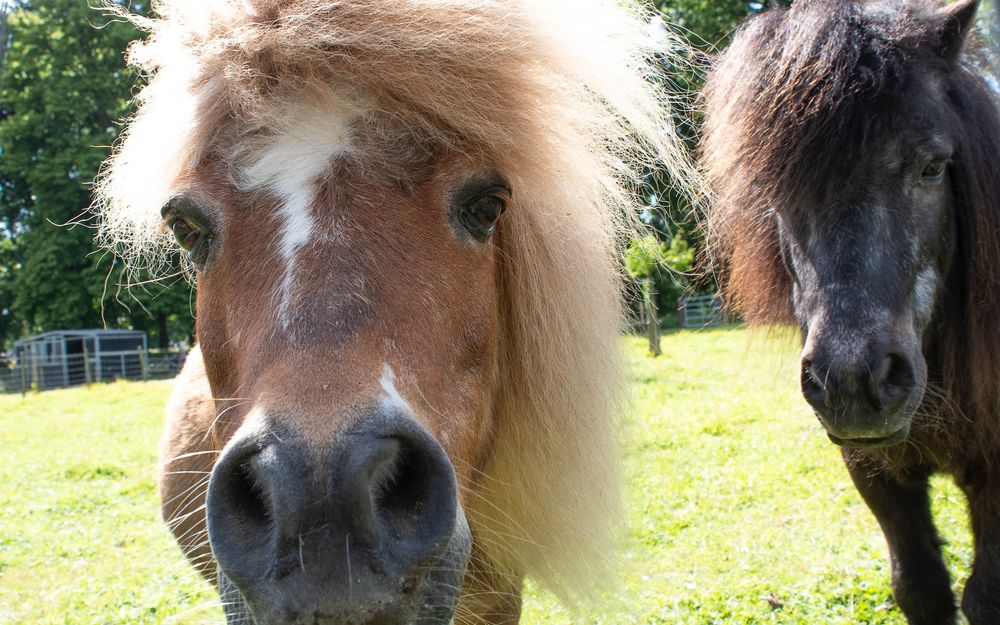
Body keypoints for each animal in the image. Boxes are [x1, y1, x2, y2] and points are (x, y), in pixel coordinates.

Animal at [701, 1, 1000, 623]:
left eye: (934, 166)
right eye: (774, 183)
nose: (854, 383)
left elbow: (984, 596)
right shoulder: (872, 468)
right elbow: (920, 588)